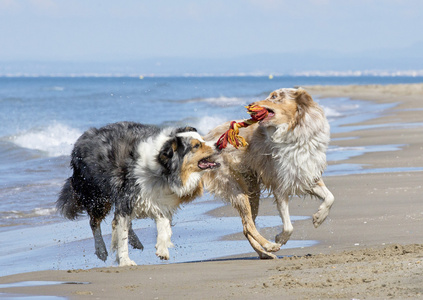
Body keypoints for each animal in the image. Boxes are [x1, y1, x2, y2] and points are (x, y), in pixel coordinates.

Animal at [56, 120, 220, 266]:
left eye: (203, 139)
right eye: (196, 146)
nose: (218, 144)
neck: (160, 168)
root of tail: (80, 140)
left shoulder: (159, 198)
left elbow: (164, 225)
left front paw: (162, 248)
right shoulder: (127, 197)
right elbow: (121, 234)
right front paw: (125, 261)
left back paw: (135, 241)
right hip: (98, 196)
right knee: (95, 222)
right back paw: (101, 250)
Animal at [204, 86, 336, 258]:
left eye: (274, 96)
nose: (250, 104)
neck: (295, 130)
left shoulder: (305, 174)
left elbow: (330, 197)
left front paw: (319, 218)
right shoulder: (280, 184)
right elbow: (288, 226)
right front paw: (280, 239)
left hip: (252, 191)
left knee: (246, 227)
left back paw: (264, 253)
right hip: (237, 187)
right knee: (248, 225)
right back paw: (269, 246)